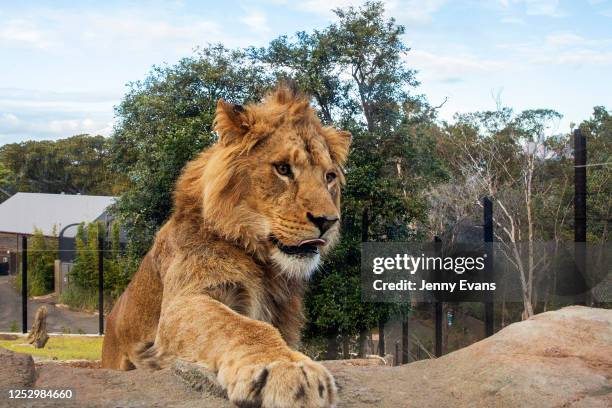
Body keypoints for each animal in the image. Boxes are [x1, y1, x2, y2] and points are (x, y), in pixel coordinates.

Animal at [100, 83, 350, 408]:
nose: (328, 222)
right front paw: (287, 369)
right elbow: (243, 326)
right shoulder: (183, 303)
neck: (266, 268)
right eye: (283, 169)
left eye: (329, 177)